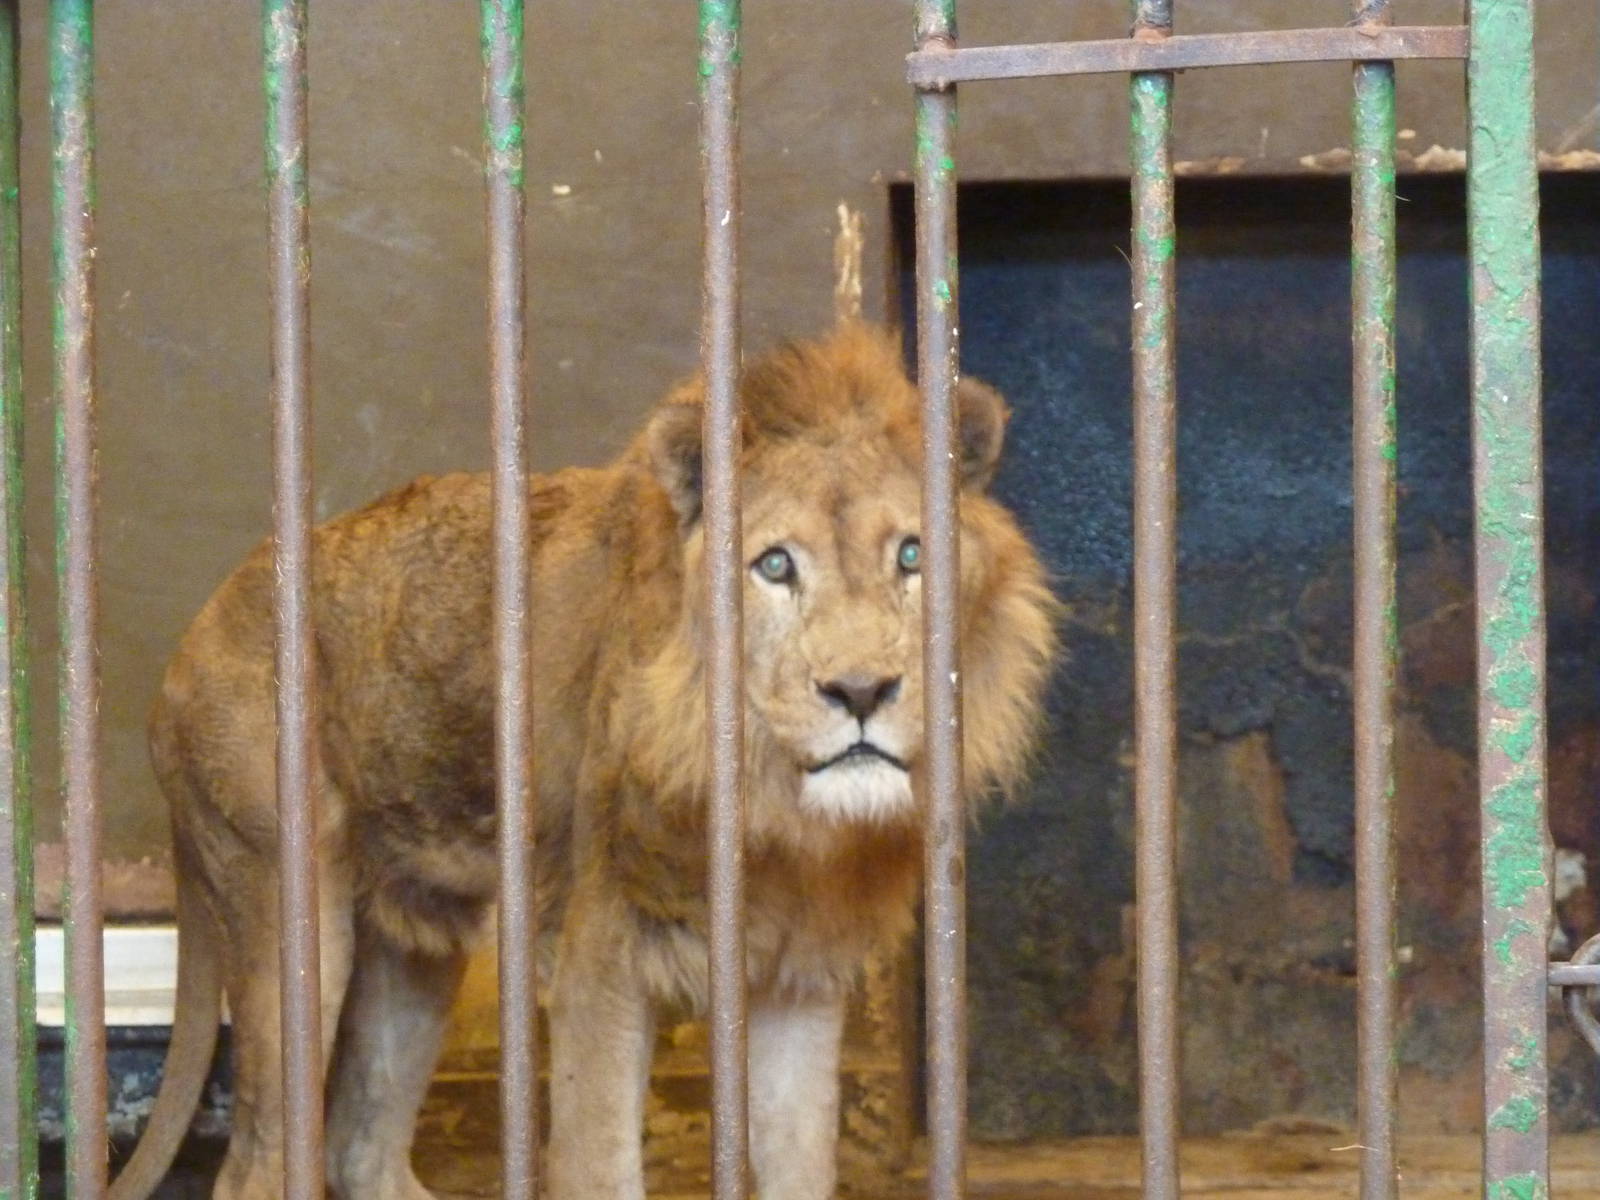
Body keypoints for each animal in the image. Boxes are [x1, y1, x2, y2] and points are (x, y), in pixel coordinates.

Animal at [108, 323, 1059, 1200]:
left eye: (912, 556)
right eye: (775, 565)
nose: (861, 691)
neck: (775, 810)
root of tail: (188, 644)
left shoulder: (800, 979)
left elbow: (798, 1165)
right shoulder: (599, 955)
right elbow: (600, 1161)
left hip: (410, 945)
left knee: (359, 1149)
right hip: (286, 904)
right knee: (258, 1163)